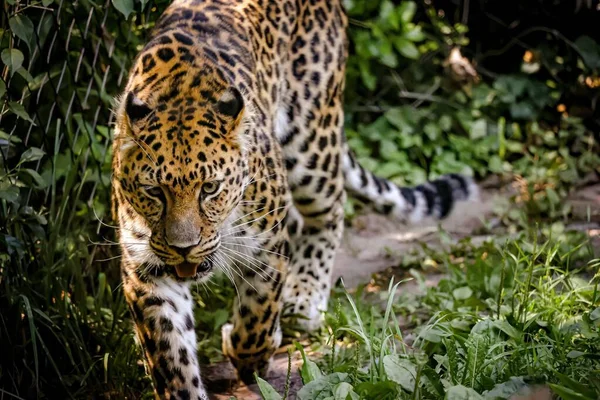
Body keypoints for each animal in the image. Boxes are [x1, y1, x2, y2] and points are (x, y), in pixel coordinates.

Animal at [111, 0, 478, 396]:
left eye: (210, 189)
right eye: (153, 192)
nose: (183, 248)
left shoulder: (267, 245)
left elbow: (257, 316)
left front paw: (249, 356)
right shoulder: (145, 270)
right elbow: (170, 358)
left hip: (311, 139)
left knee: (330, 210)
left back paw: (304, 299)